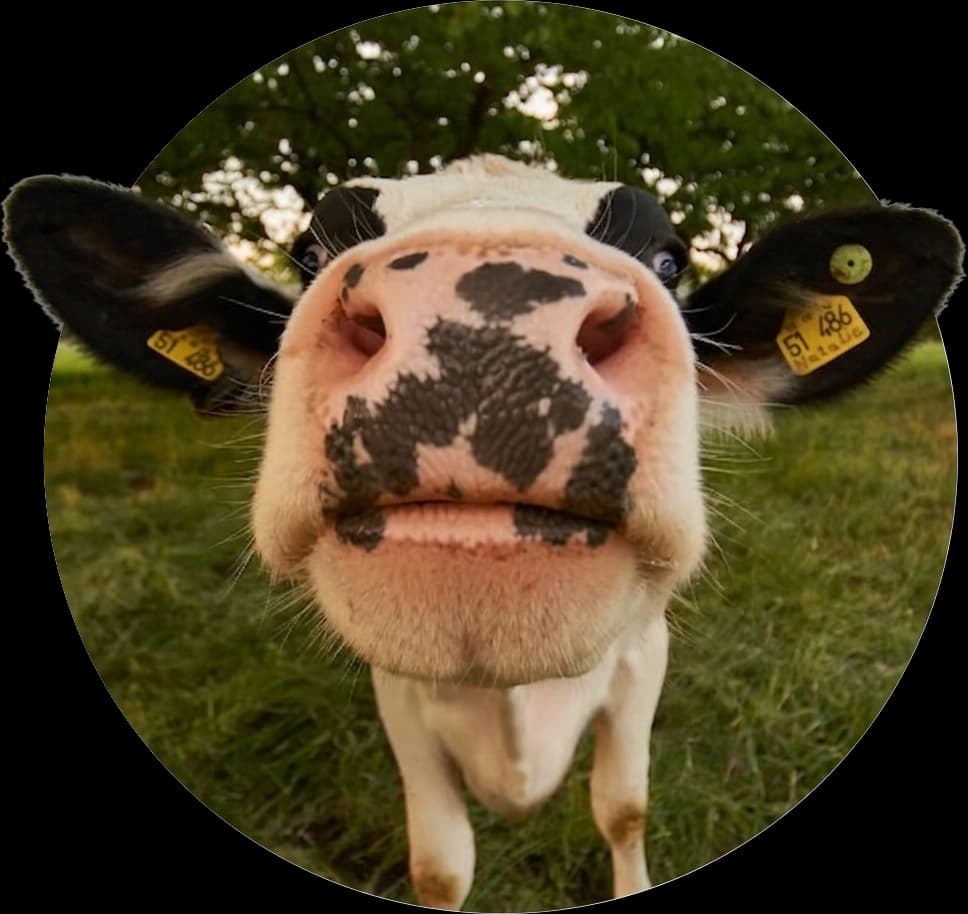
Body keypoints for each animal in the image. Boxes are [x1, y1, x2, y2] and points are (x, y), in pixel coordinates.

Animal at [5, 155, 962, 909]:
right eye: (310, 252)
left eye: (667, 256)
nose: (487, 315)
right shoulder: (397, 689)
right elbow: (441, 866)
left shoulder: (644, 651)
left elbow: (624, 808)